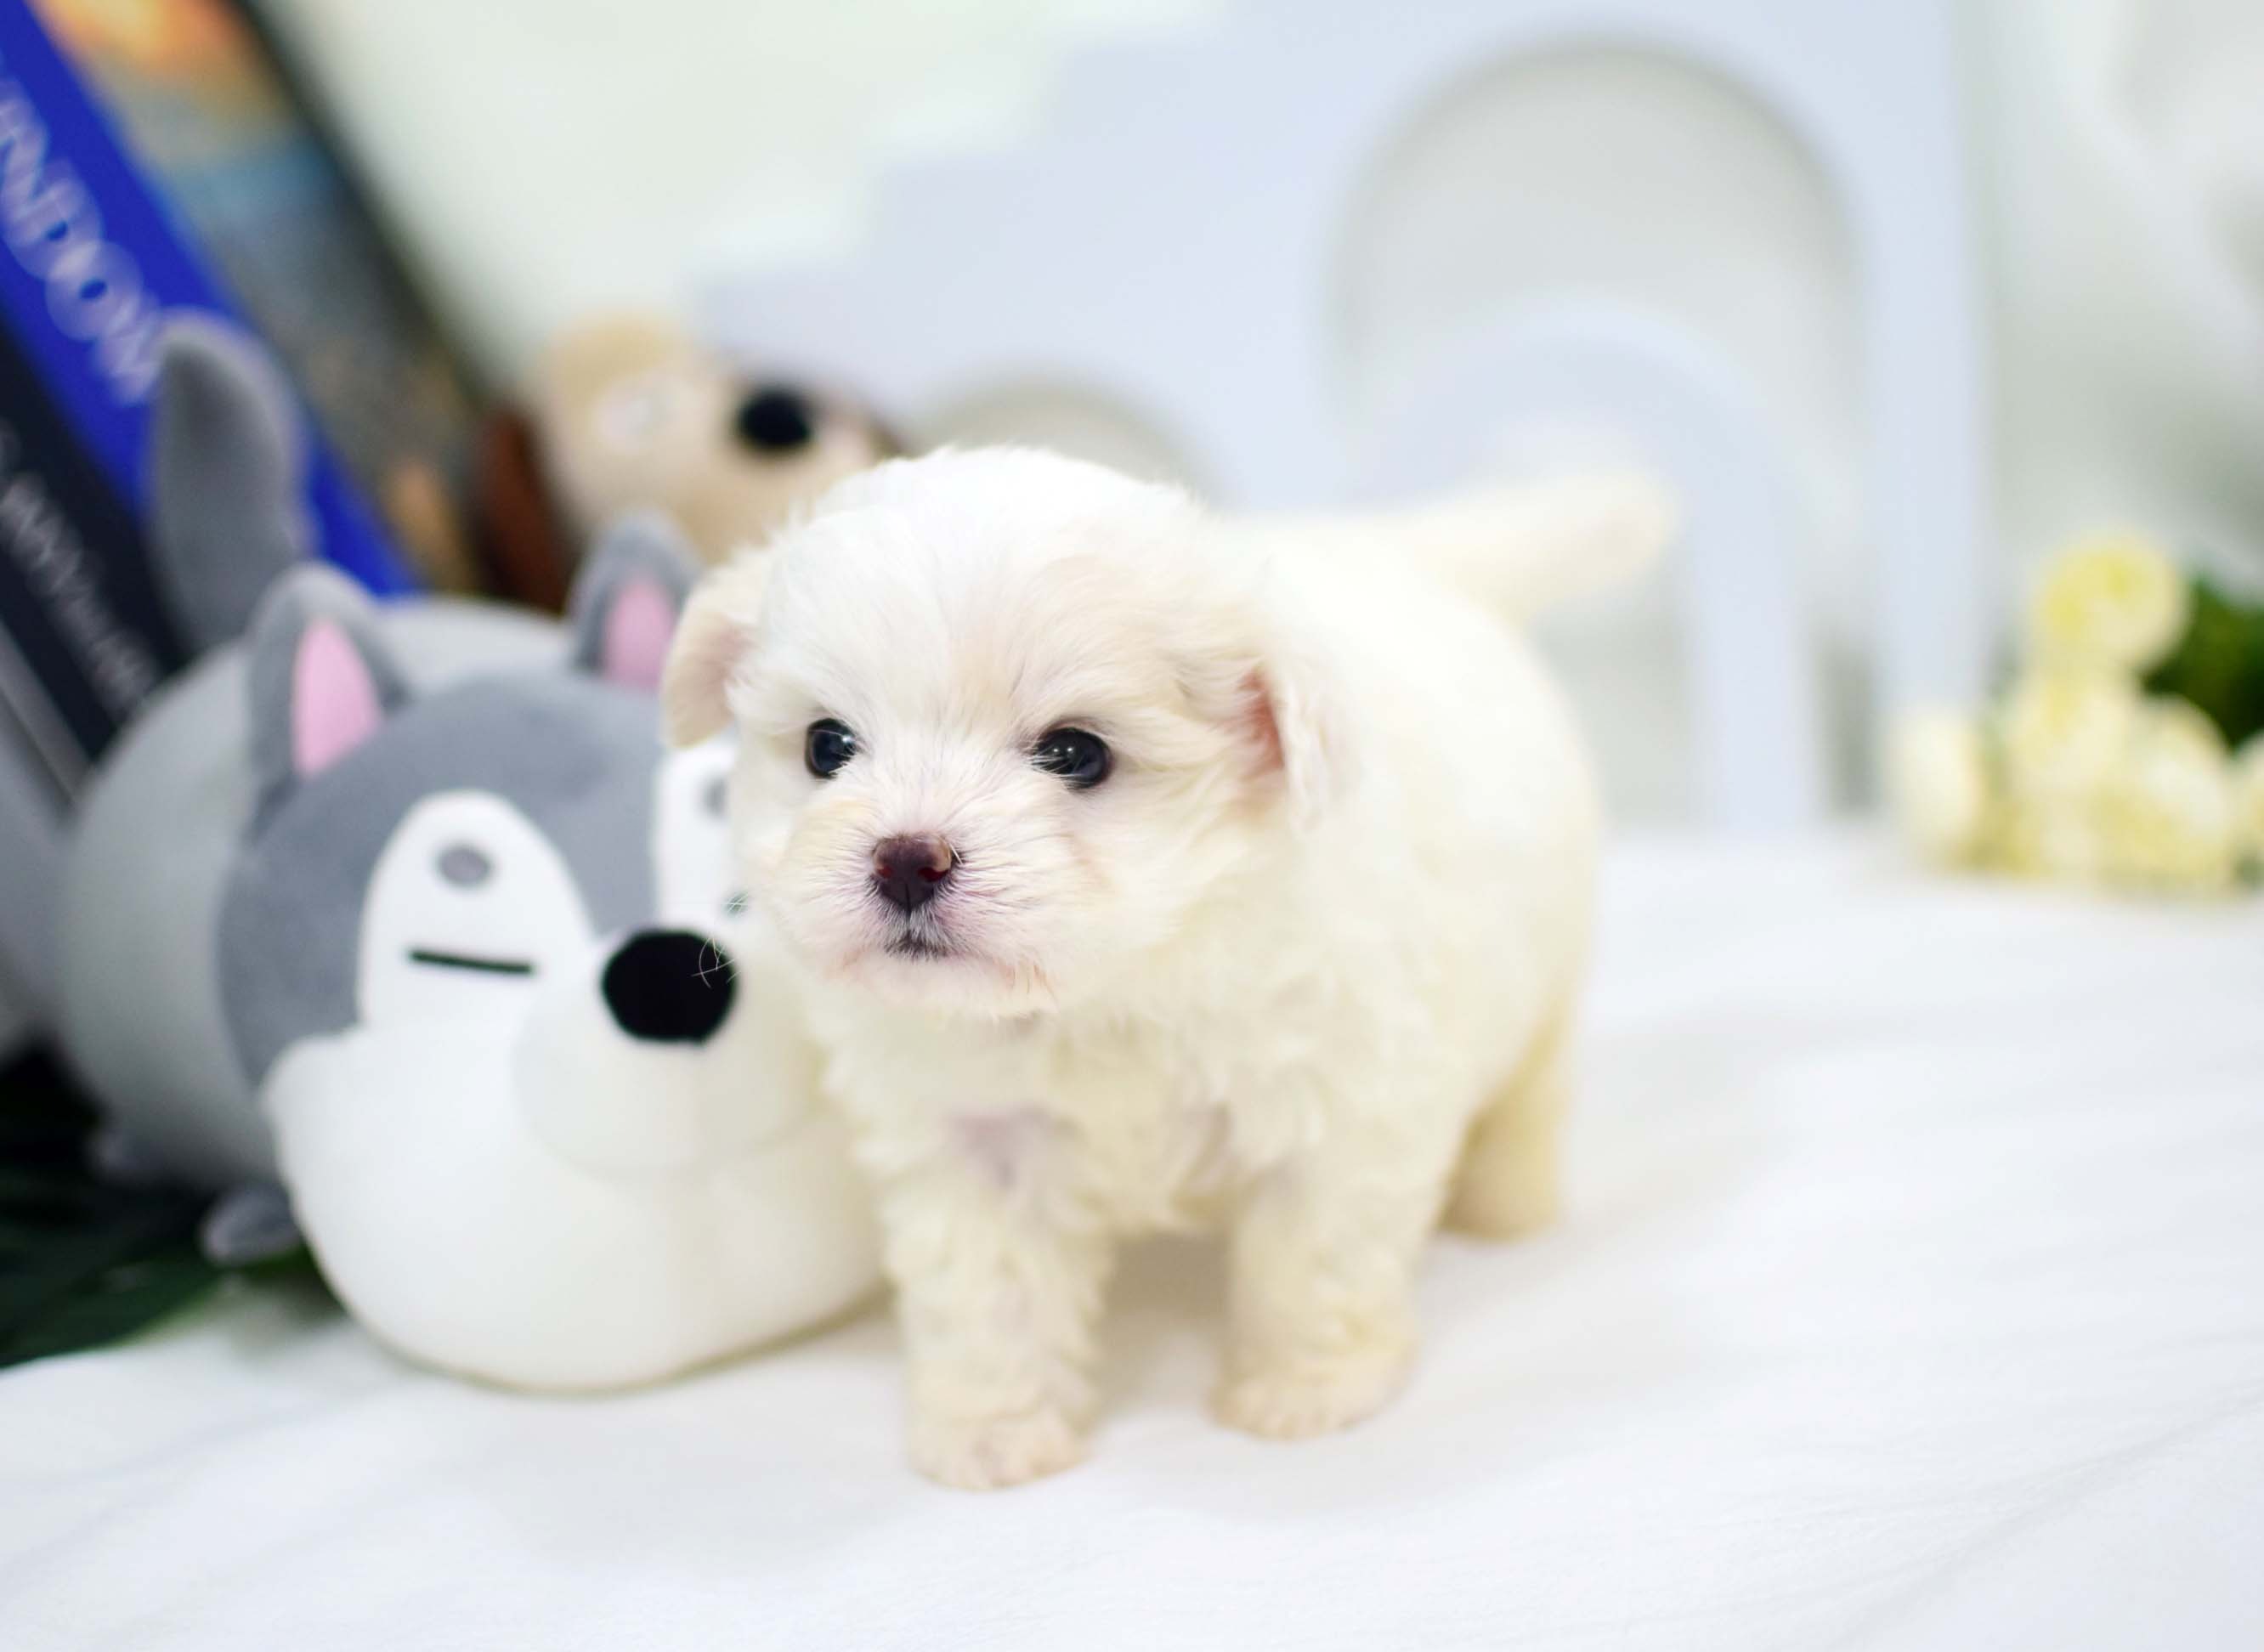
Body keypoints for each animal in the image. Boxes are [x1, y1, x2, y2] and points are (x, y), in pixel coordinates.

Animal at [663, 448, 1669, 1486]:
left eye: (1075, 752)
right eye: (827, 746)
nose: (906, 857)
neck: (1112, 982)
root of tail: (1423, 562)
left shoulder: (1343, 1108)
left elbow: (1316, 1257)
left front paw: (1308, 1390)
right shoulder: (969, 1143)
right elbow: (989, 1293)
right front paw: (993, 1431)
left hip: (1551, 971)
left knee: (1532, 1092)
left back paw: (1509, 1206)